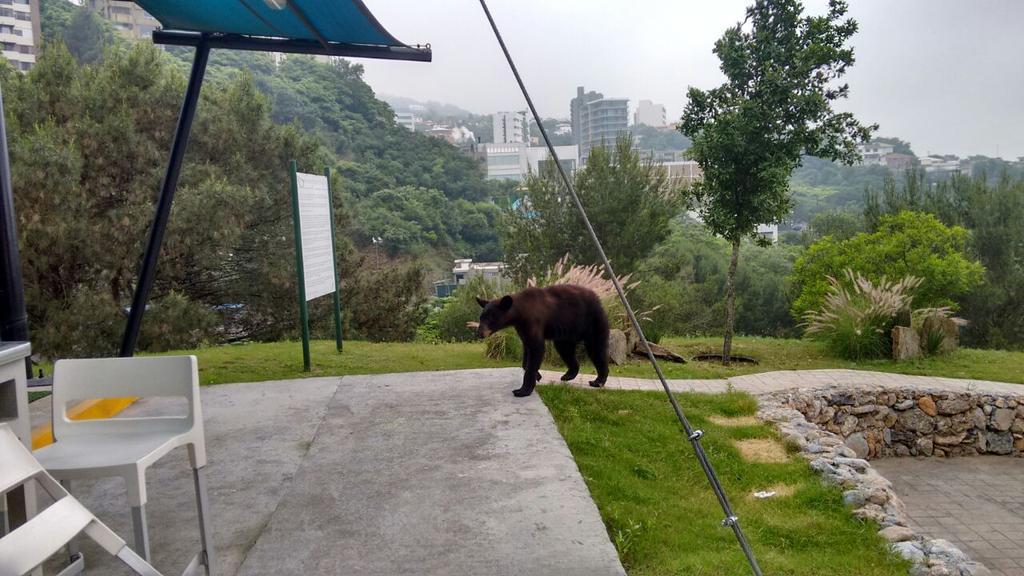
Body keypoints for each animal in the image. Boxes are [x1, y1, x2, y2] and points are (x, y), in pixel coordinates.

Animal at [476, 284, 610, 397]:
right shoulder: (523, 329)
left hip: (592, 322)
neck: (521, 311)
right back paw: (568, 375)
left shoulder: (533, 322)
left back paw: (598, 381)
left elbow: (537, 349)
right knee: (565, 349)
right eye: (481, 317)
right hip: (567, 333)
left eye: (491, 318)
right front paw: (537, 375)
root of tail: (597, 298)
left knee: (597, 348)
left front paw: (522, 390)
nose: (479, 333)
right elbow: (527, 351)